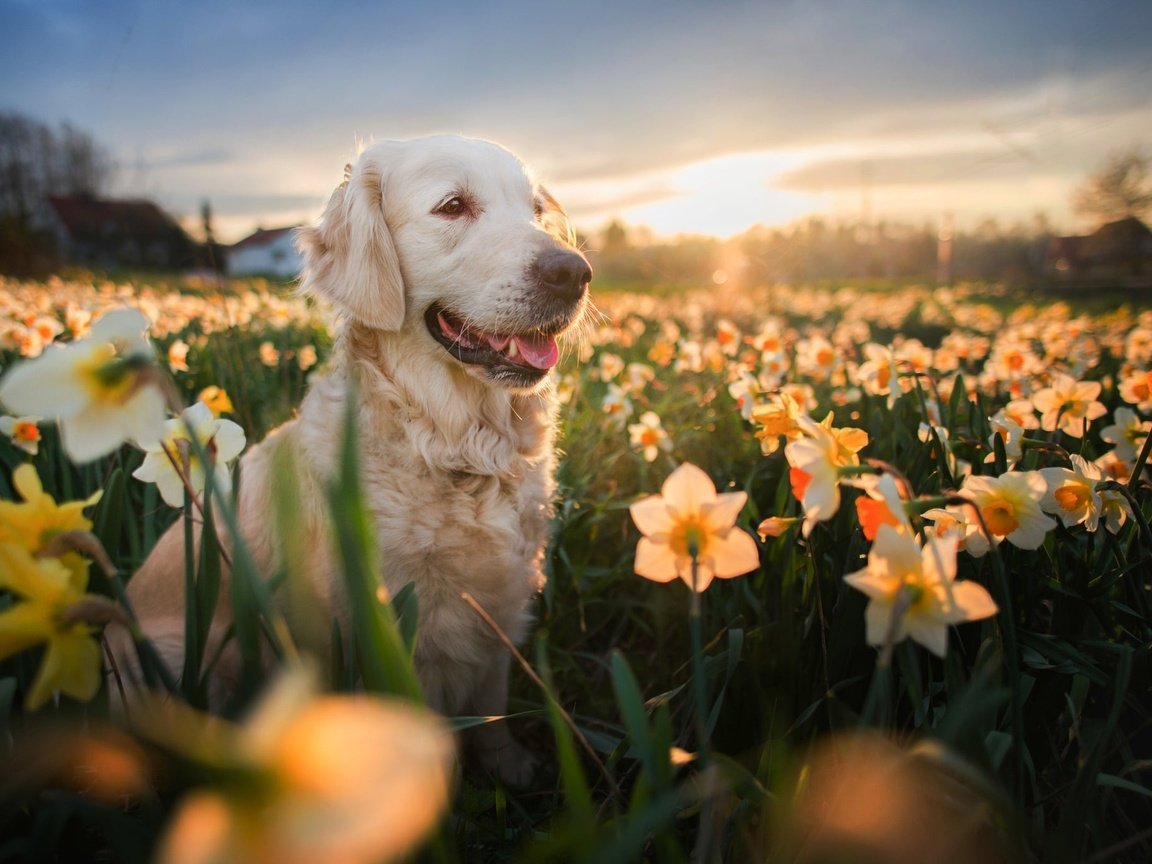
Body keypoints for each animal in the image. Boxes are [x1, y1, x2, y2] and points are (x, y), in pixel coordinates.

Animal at [119, 133, 594, 783]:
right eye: (452, 206)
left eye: (537, 211)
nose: (575, 273)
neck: (453, 447)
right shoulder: (376, 633)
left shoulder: (500, 602)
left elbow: (493, 708)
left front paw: (511, 768)